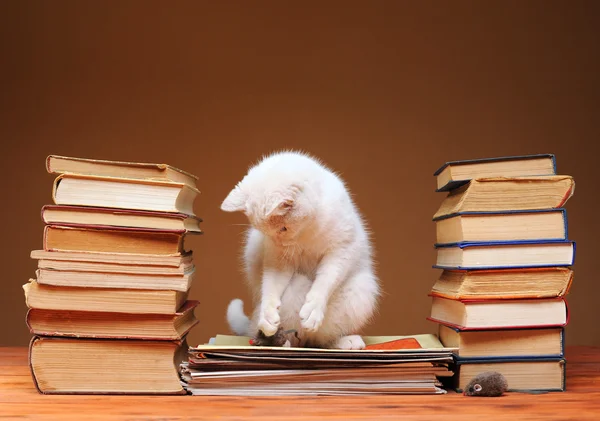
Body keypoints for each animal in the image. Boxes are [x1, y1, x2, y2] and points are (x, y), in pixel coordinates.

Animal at [220, 150, 380, 348]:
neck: (307, 233)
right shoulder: (278, 261)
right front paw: (268, 316)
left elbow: (325, 281)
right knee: (299, 336)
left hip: (361, 289)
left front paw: (313, 309)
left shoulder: (341, 250)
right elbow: (270, 286)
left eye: (283, 228)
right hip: (296, 286)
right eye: (263, 232)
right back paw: (279, 340)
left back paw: (343, 341)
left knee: (321, 338)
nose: (278, 243)